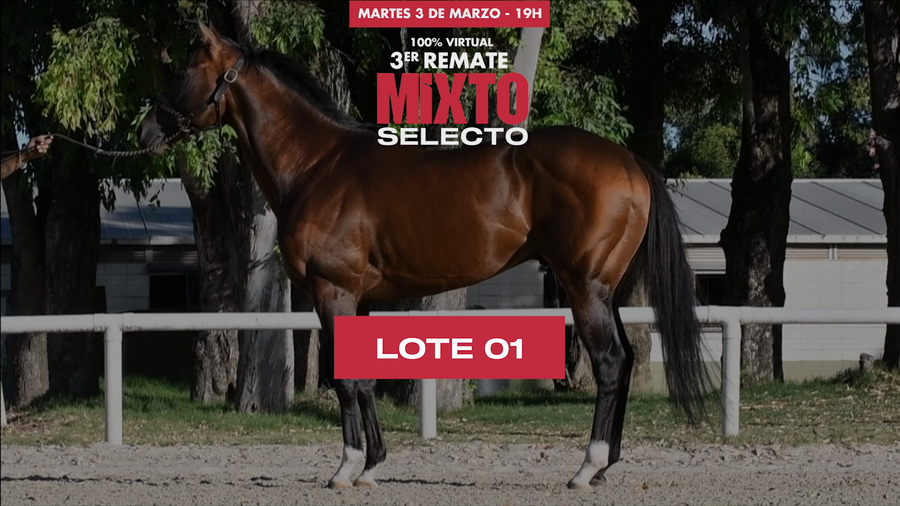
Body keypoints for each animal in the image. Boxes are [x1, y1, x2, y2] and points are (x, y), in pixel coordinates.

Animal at [138, 22, 711, 490]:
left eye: (185, 70)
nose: (145, 130)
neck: (318, 164)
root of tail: (630, 161)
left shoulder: (333, 291)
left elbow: (345, 378)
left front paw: (346, 467)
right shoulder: (360, 298)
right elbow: (364, 377)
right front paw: (371, 464)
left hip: (584, 286)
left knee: (611, 362)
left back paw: (587, 467)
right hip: (606, 289)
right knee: (628, 358)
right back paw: (607, 464)